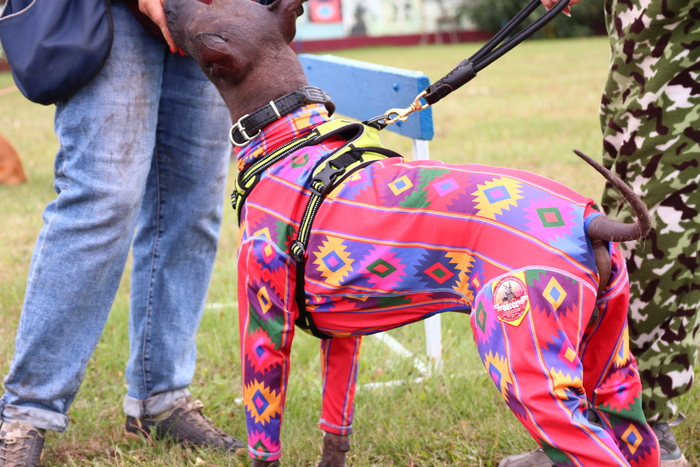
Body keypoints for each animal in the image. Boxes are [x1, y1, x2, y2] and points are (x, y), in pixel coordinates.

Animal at [165, 1, 661, 465]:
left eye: (207, 7)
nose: (163, 8)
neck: (288, 137)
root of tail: (589, 220)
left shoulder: (265, 324)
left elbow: (264, 431)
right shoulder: (343, 337)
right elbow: (335, 428)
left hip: (529, 368)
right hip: (611, 369)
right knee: (637, 434)